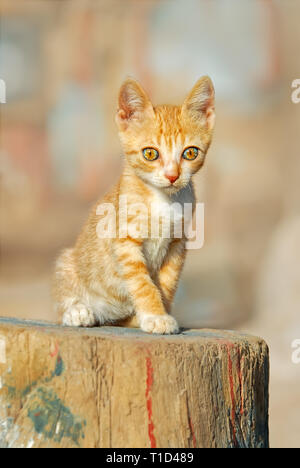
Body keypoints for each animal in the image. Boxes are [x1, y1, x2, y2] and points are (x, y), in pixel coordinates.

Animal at [52, 76, 214, 332]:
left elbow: (166, 284)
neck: (163, 199)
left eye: (190, 153)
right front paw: (156, 315)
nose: (172, 176)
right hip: (67, 260)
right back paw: (77, 312)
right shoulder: (125, 241)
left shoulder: (177, 244)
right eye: (150, 154)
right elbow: (143, 284)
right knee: (62, 304)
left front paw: (160, 312)